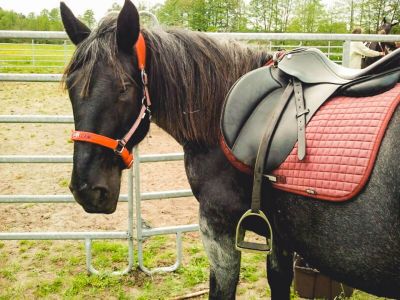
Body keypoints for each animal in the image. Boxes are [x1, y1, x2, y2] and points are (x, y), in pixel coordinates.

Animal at [60, 1, 400, 298]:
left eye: (124, 88)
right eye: (71, 88)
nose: (87, 190)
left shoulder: (218, 230)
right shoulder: (280, 237)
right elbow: (278, 280)